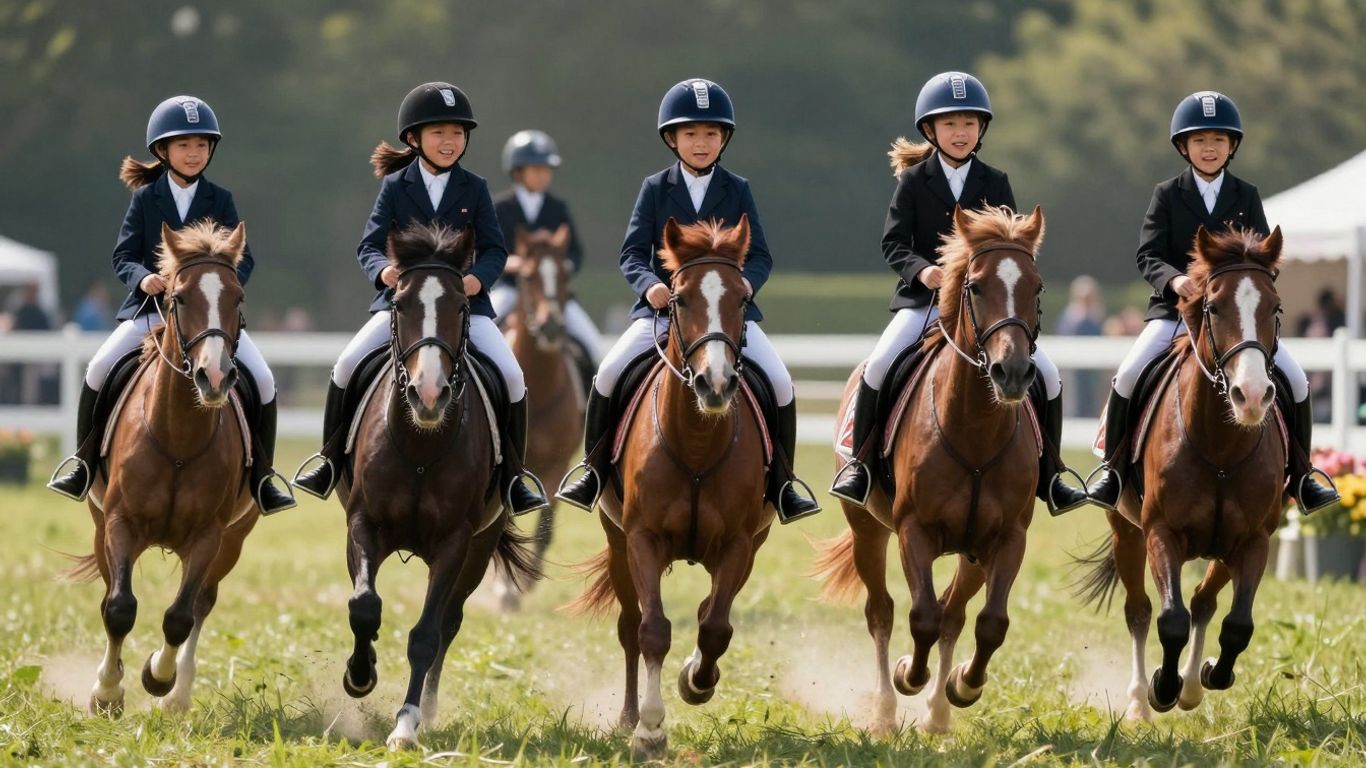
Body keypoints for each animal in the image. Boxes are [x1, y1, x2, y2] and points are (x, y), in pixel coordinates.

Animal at [69, 221, 258, 717]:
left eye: (238, 297)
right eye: (180, 297)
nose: (216, 378)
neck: (178, 438)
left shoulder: (209, 537)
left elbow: (179, 616)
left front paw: (158, 676)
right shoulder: (119, 522)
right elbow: (119, 608)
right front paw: (107, 693)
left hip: (233, 541)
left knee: (201, 603)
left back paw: (178, 693)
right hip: (101, 526)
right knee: (111, 595)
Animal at [337, 222, 538, 750]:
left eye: (463, 307)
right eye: (400, 304)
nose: (429, 395)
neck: (421, 446)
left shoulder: (455, 543)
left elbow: (427, 634)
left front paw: (406, 724)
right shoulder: (363, 524)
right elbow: (364, 605)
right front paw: (360, 675)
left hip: (479, 551)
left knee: (448, 623)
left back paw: (425, 710)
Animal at [569, 216, 772, 760]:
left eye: (742, 298)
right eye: (678, 299)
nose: (715, 385)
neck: (698, 441)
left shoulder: (740, 543)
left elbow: (716, 627)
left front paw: (696, 682)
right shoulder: (641, 539)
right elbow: (652, 630)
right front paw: (649, 729)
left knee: (710, 613)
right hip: (617, 543)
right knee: (629, 627)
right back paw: (627, 715)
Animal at [815, 205, 1048, 735]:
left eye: (1037, 287)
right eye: (976, 287)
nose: (1013, 373)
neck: (975, 428)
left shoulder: (1008, 538)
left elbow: (989, 623)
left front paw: (964, 685)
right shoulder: (912, 530)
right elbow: (921, 614)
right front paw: (909, 675)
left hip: (973, 553)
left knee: (955, 614)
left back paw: (939, 714)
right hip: (867, 531)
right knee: (881, 612)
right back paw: (884, 710)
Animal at [1075, 226, 1287, 721]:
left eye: (1275, 308)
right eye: (1214, 306)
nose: (1252, 396)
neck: (1221, 446)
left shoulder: (1254, 540)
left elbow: (1237, 624)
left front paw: (1208, 675)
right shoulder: (1160, 532)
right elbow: (1170, 620)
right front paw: (1161, 688)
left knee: (1204, 601)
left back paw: (1191, 686)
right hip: (1126, 531)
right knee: (1139, 610)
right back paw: (1139, 700)